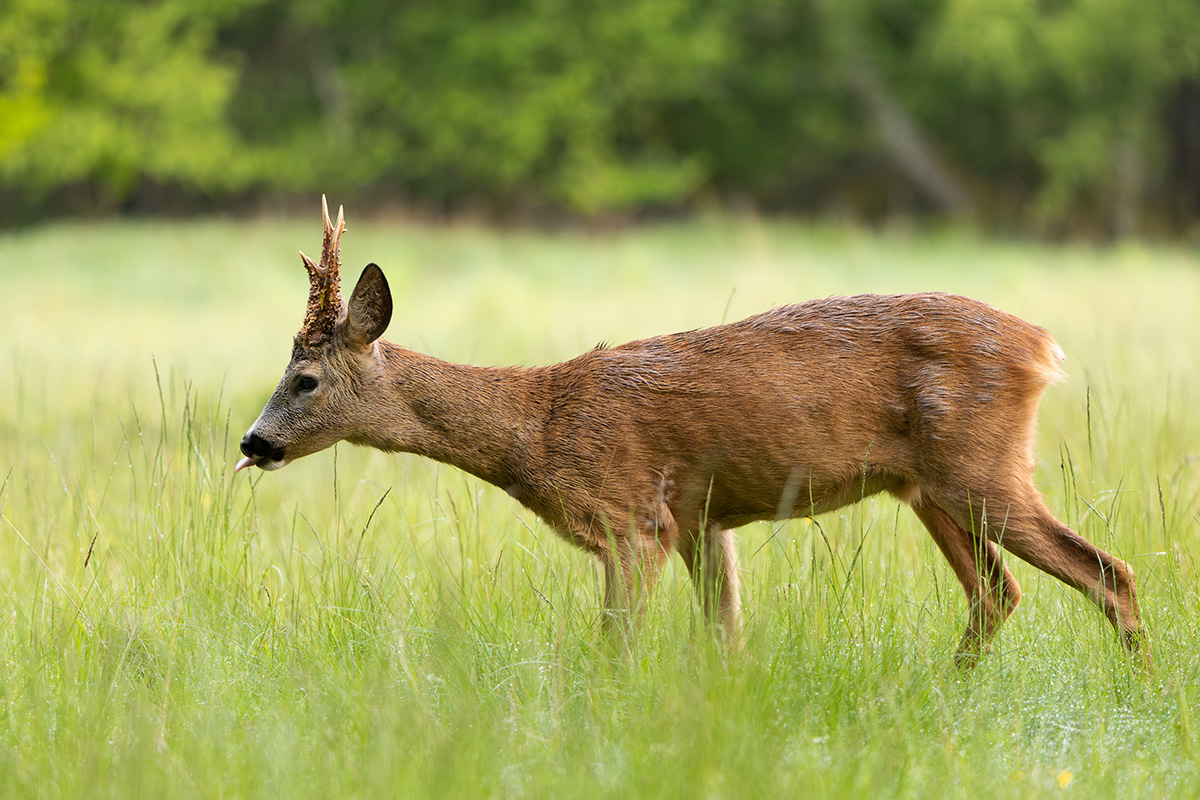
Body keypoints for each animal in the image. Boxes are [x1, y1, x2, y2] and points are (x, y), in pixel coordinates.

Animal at [236, 197, 1145, 667]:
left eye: (306, 379)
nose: (252, 442)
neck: (540, 426)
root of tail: (1042, 347)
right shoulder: (705, 520)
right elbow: (725, 637)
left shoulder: (632, 519)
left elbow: (615, 647)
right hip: (927, 488)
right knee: (999, 592)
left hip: (980, 467)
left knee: (1108, 570)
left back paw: (1140, 691)